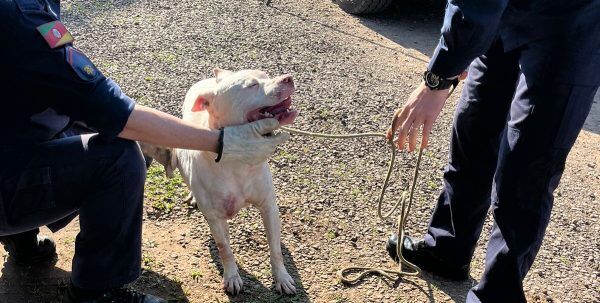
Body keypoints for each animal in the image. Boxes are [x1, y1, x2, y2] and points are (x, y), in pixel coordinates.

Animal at [171, 69, 298, 294]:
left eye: (266, 75)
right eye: (251, 85)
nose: (288, 78)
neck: (237, 163)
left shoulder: (269, 206)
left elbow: (274, 248)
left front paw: (282, 277)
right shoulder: (215, 218)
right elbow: (225, 249)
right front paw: (231, 276)